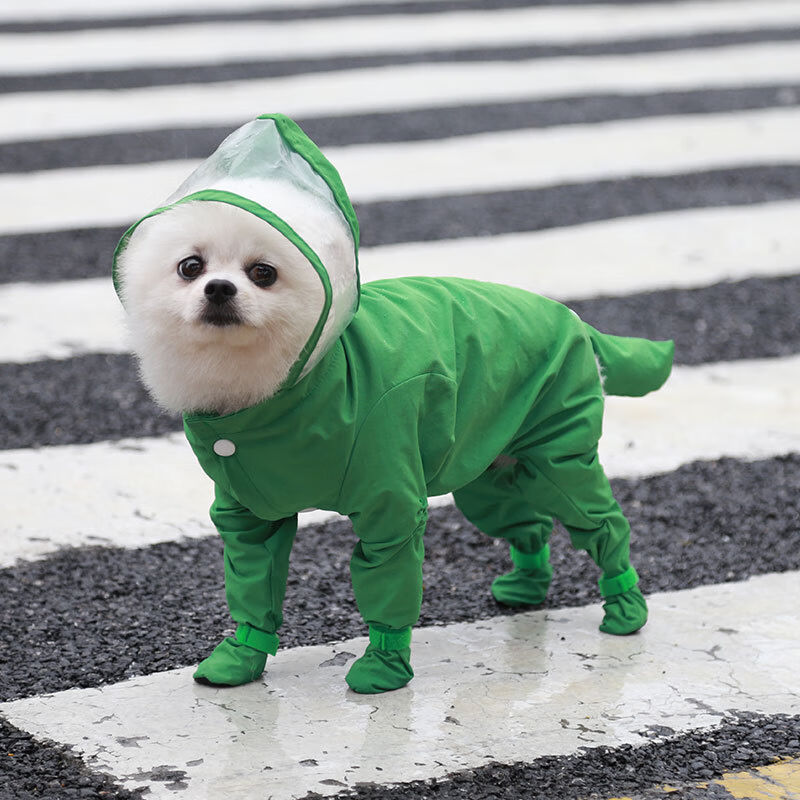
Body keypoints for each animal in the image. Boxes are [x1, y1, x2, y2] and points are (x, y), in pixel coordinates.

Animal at [115, 112, 672, 692]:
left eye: (263, 273)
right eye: (190, 267)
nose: (220, 288)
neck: (281, 390)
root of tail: (574, 319)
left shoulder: (391, 500)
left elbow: (388, 576)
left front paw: (383, 667)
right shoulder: (247, 511)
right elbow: (253, 579)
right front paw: (241, 656)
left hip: (557, 459)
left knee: (602, 523)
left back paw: (626, 605)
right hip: (487, 470)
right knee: (527, 524)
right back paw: (527, 586)